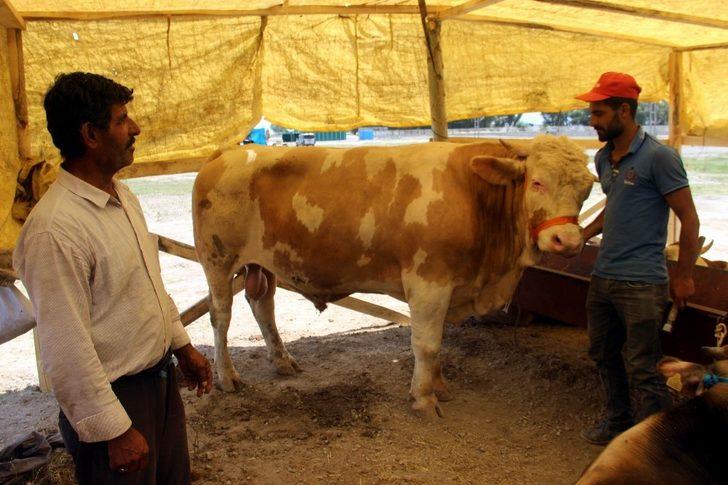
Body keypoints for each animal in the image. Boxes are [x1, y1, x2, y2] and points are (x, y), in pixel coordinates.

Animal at [193, 136, 596, 416]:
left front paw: (439, 385)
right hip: (217, 260)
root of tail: (227, 153)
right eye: (537, 182)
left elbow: (438, 344)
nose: (567, 240)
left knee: (263, 307)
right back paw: (227, 377)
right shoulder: (428, 281)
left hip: (263, 264)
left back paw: (282, 361)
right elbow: (427, 343)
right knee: (221, 315)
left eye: (587, 188)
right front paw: (424, 399)